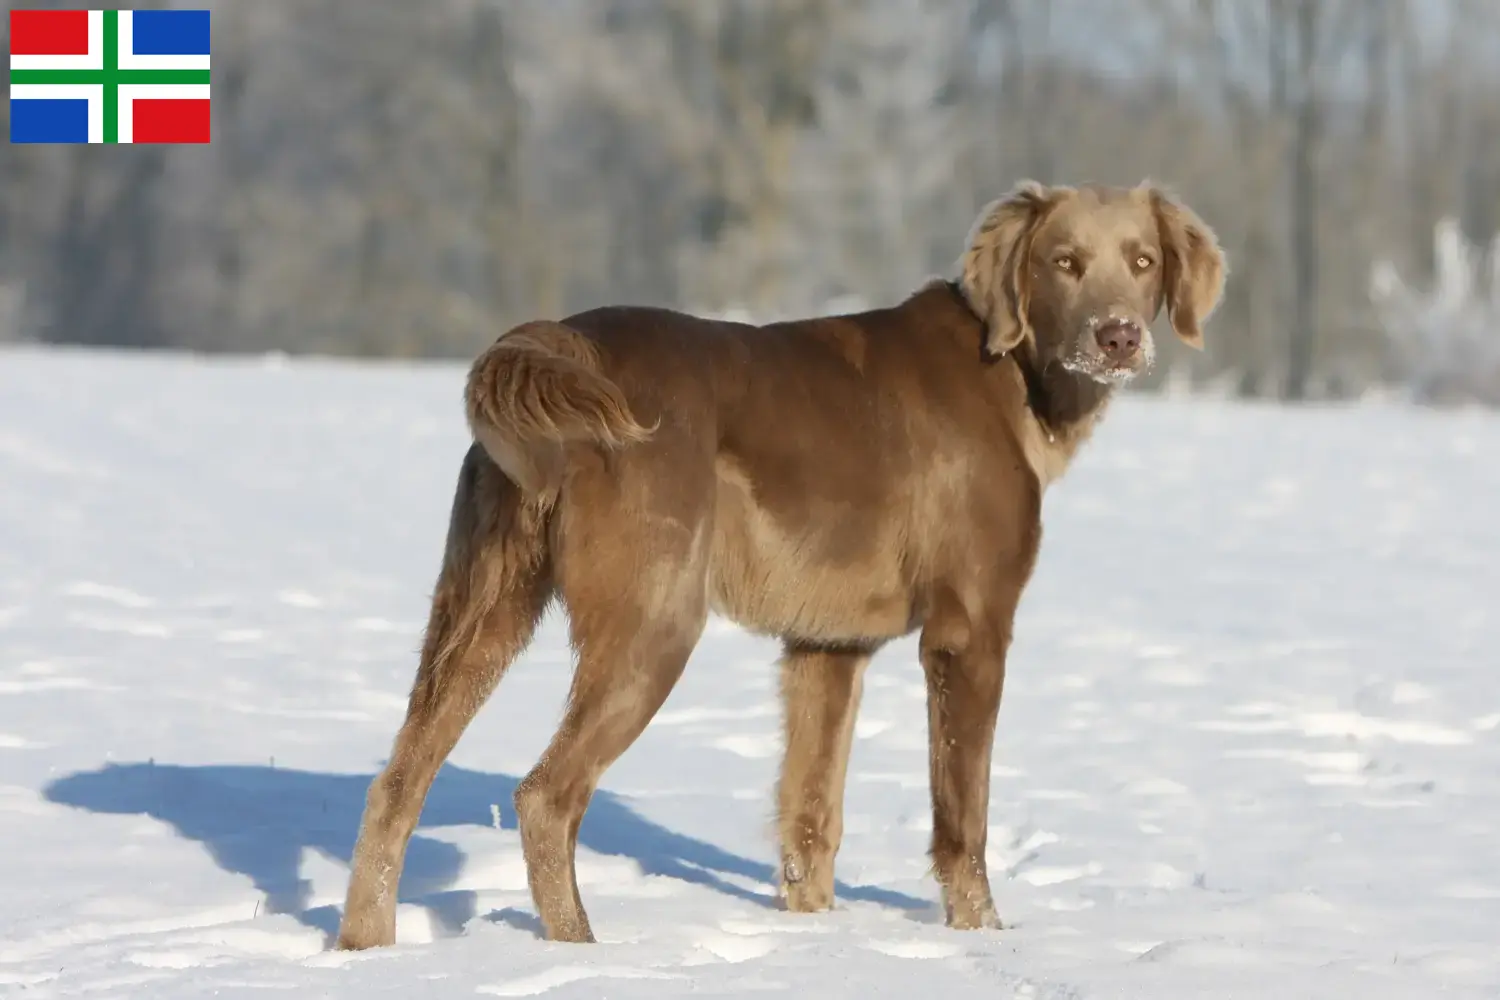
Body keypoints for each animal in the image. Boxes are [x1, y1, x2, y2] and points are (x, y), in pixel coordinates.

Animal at [334, 179, 1224, 953]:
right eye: (1063, 262)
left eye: (1142, 260)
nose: (1118, 337)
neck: (1013, 375)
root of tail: (559, 339)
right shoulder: (971, 630)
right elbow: (962, 818)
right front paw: (982, 938)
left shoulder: (827, 646)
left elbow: (810, 818)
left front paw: (811, 937)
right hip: (652, 624)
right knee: (545, 797)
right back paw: (581, 950)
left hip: (484, 609)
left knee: (397, 784)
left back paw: (365, 949)